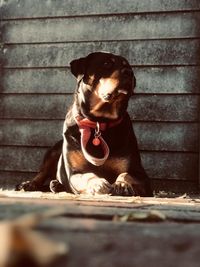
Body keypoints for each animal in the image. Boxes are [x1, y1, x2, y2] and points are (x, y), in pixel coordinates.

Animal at [16, 51, 153, 197]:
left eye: (127, 65)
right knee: (42, 172)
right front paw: (97, 183)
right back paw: (30, 184)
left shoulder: (140, 174)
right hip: (54, 150)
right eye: (106, 64)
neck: (99, 121)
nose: (129, 72)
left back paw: (56, 185)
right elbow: (87, 175)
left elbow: (127, 174)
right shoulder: (74, 173)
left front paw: (122, 184)